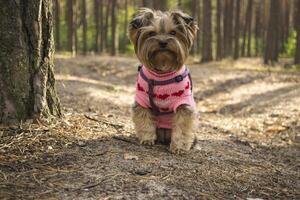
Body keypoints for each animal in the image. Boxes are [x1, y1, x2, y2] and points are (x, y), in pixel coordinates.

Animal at [127, 7, 198, 153]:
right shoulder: (142, 100)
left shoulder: (184, 104)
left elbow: (182, 126)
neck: (162, 71)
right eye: (151, 33)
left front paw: (179, 147)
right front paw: (147, 139)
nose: (163, 42)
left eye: (173, 32)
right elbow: (144, 119)